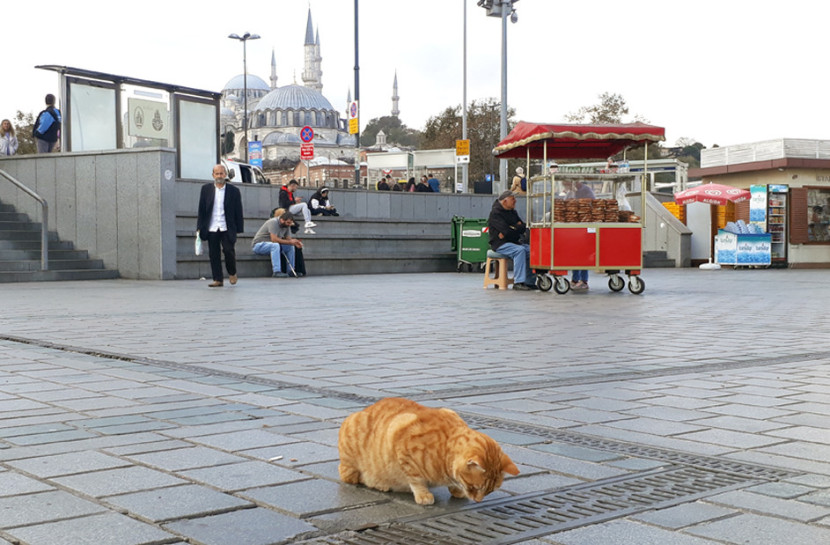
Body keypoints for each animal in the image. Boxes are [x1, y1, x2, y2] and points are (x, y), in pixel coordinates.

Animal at [338, 396, 520, 506]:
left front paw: (456, 489)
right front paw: (423, 494)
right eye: (474, 487)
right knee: (350, 475)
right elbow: (416, 480)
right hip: (352, 459)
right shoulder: (402, 445)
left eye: (490, 491)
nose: (477, 500)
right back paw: (379, 483)